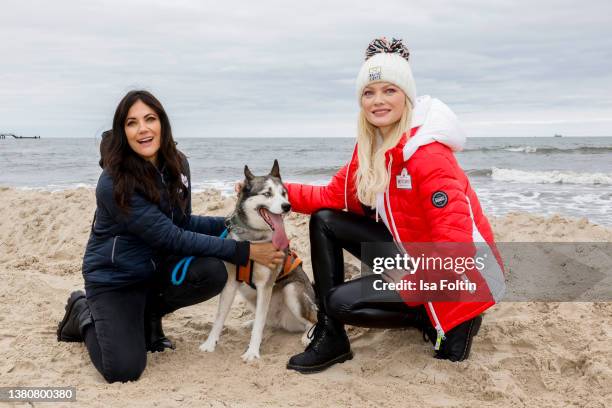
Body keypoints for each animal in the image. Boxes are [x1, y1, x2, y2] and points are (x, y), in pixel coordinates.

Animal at [200, 161, 318, 362]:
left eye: (284, 193)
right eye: (267, 193)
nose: (287, 206)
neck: (252, 238)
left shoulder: (265, 286)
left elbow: (259, 327)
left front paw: (252, 352)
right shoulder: (231, 282)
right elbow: (220, 317)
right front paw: (210, 343)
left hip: (292, 290)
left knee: (314, 320)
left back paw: (306, 337)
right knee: (266, 321)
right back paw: (251, 322)